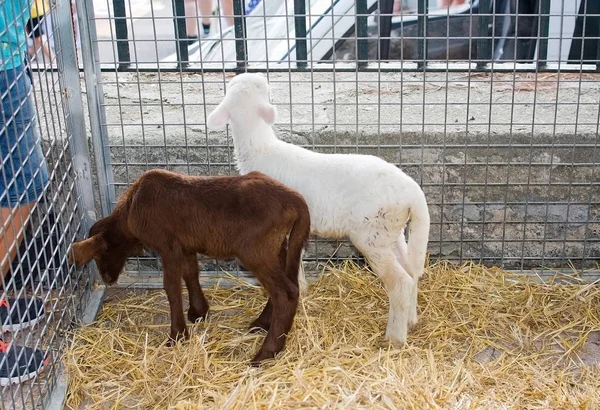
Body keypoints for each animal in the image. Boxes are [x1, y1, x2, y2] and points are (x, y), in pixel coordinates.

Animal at [68, 168, 312, 364]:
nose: (108, 279)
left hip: (255, 250)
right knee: (287, 283)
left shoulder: (168, 245)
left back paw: (265, 354)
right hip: (278, 246)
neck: (130, 208)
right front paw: (198, 312)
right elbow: (191, 273)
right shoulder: (185, 245)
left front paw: (177, 335)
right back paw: (262, 324)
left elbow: (172, 288)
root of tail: (296, 201)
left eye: (100, 254)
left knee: (286, 292)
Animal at [207, 73, 432, 342]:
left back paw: (394, 338)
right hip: (391, 230)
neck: (260, 147)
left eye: (263, 87)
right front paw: (302, 291)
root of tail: (412, 192)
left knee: (399, 281)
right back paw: (411, 321)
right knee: (412, 271)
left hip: (372, 234)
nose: (262, 75)